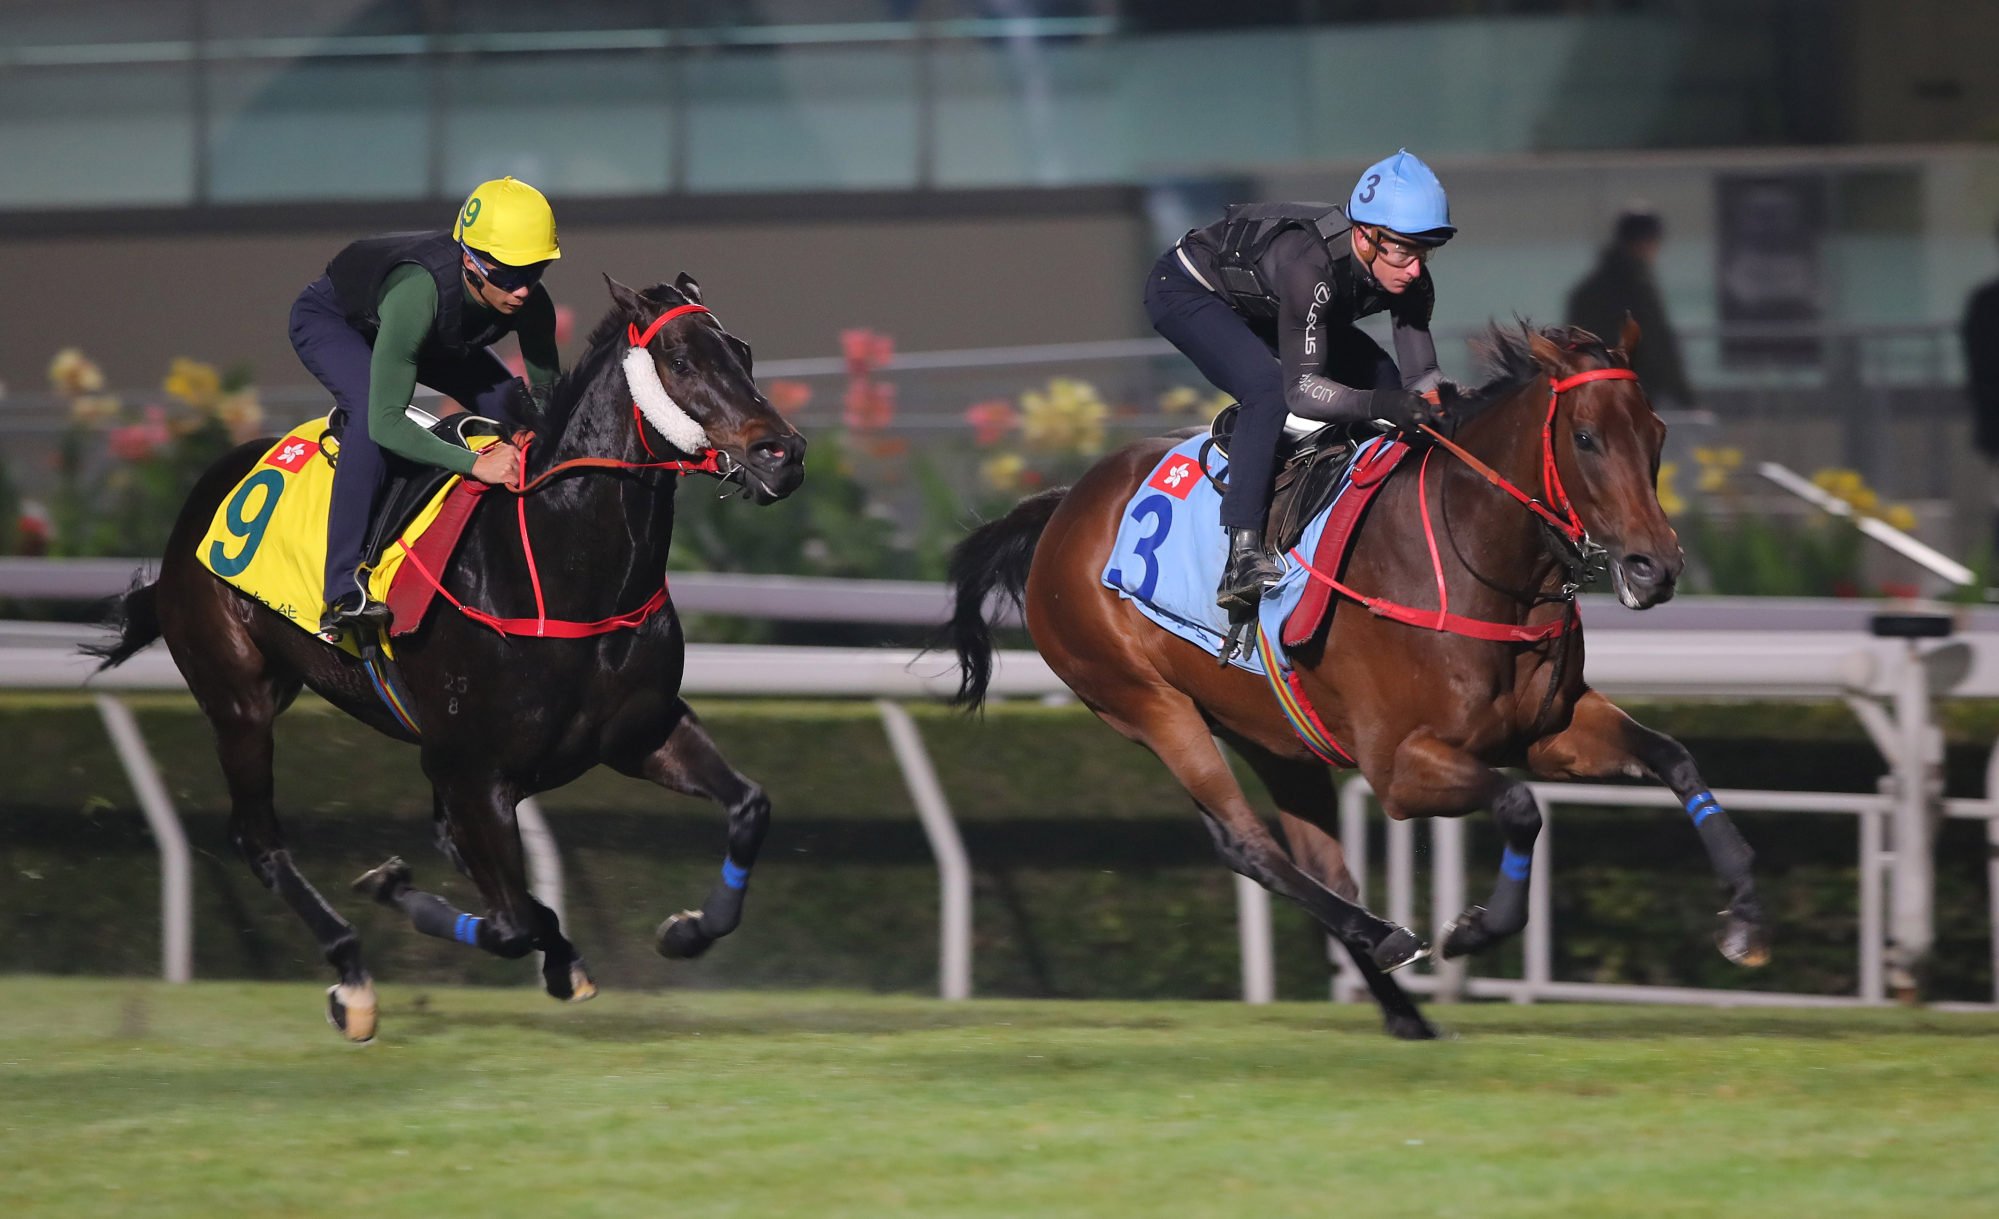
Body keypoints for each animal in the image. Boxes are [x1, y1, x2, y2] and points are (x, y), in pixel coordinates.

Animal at [85, 275, 803, 1031]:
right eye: (682, 362)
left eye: (743, 352)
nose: (783, 454)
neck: (565, 571)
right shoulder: (469, 768)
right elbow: (513, 920)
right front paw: (402, 894)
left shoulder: (640, 731)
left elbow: (749, 807)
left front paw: (687, 929)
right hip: (238, 700)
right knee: (259, 838)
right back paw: (351, 973)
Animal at [947, 317, 1767, 1031]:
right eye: (1587, 437)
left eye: (1656, 434)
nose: (1655, 568)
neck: (1475, 560)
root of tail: (1064, 507)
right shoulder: (1400, 766)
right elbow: (1518, 805)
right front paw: (1476, 927)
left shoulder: (1548, 729)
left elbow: (1672, 755)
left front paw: (1743, 912)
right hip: (1147, 705)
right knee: (1251, 847)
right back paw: (1386, 937)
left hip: (1270, 733)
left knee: (1312, 862)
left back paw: (1404, 1011)